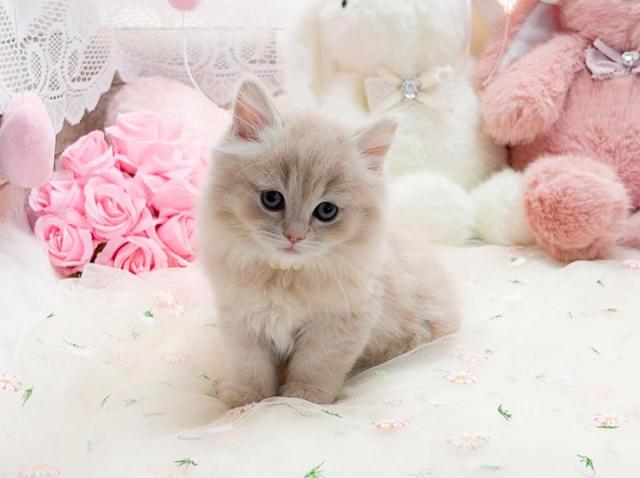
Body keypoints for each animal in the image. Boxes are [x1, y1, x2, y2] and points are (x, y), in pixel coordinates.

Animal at [199, 79, 460, 407]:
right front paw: (247, 399)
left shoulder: (338, 325)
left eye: (326, 211)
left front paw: (303, 397)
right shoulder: (241, 319)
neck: (284, 277)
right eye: (272, 199)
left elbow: (316, 366)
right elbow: (249, 366)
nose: (294, 236)